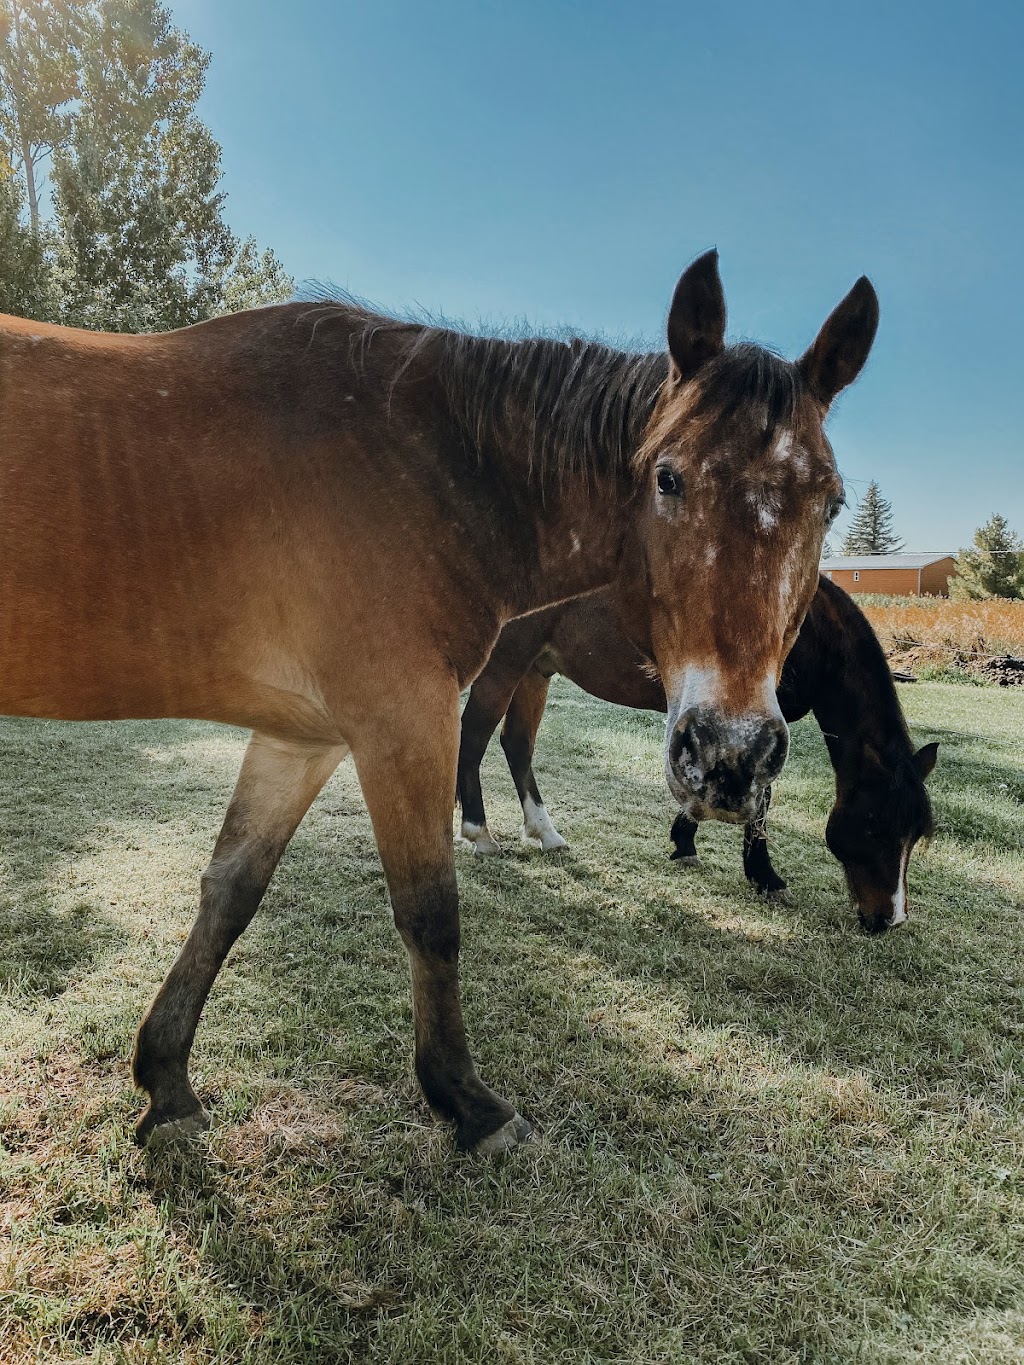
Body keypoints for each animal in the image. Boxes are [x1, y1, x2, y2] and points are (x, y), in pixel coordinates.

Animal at [0, 256, 884, 1152]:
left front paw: (167, 1079)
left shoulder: (301, 738)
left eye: (831, 503)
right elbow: (431, 910)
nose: (729, 756)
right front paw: (464, 1097)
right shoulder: (401, 719)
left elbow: (231, 891)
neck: (429, 468)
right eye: (667, 476)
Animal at [461, 570, 944, 933]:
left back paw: (545, 833)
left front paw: (685, 839)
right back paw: (478, 834)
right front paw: (764, 876)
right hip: (506, 663)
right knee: (474, 737)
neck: (812, 631)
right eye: (876, 826)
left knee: (517, 745)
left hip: (535, 670)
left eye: (914, 834)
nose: (890, 920)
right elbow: (759, 799)